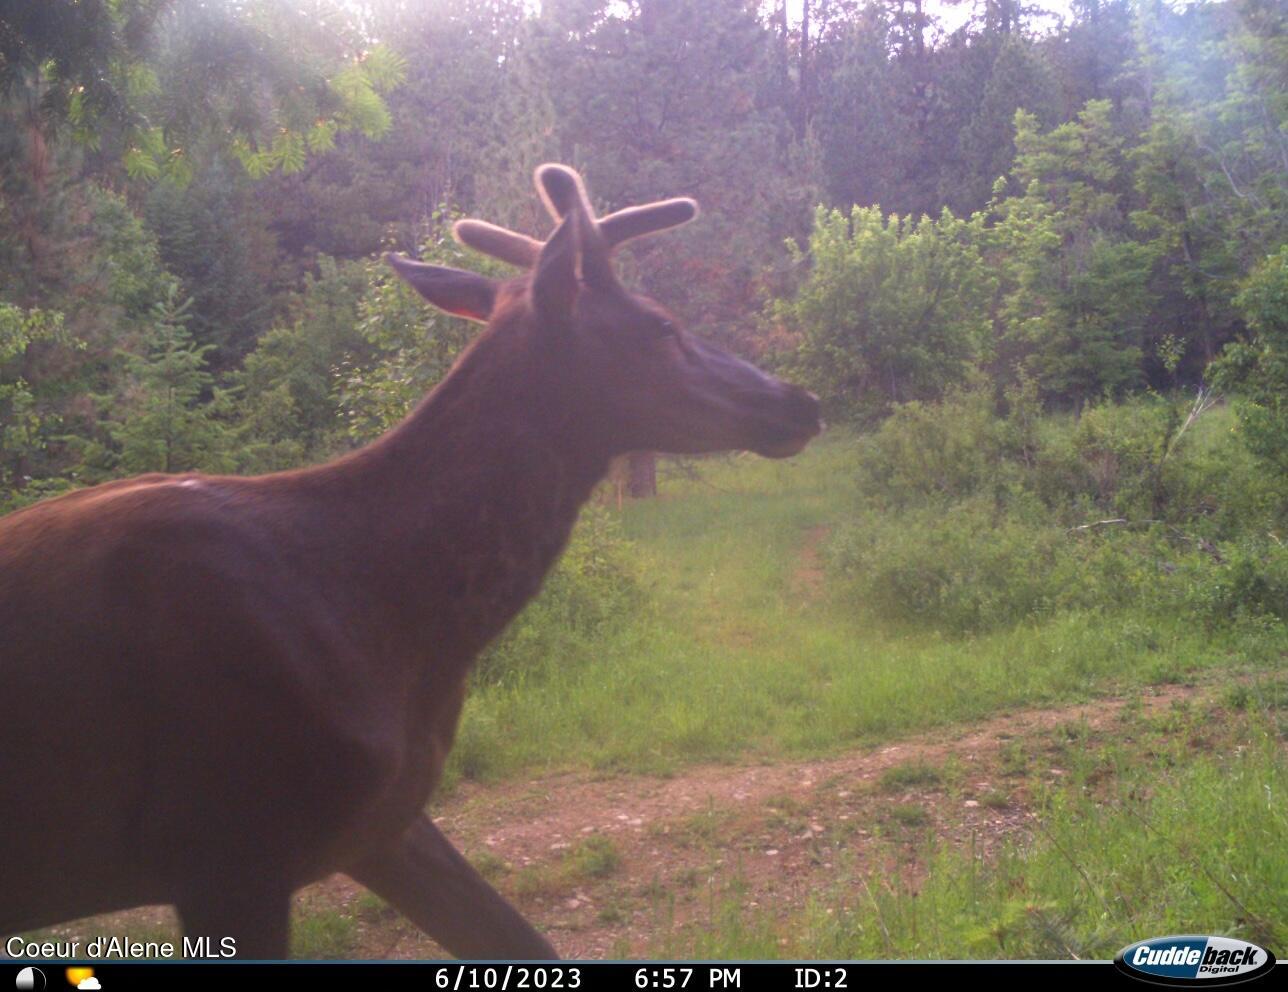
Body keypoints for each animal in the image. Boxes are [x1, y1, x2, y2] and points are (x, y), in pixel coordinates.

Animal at [0, 164, 819, 958]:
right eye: (661, 326)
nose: (799, 400)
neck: (391, 615)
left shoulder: (380, 823)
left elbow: (516, 936)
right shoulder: (225, 838)